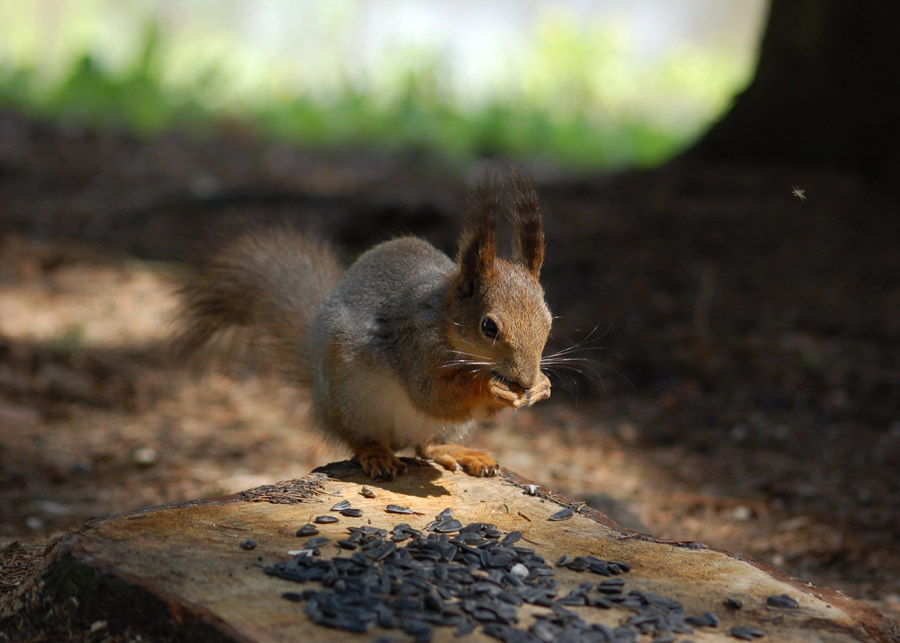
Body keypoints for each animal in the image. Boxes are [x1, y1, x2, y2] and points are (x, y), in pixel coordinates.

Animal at [174, 165, 552, 481]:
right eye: (489, 327)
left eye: (549, 321)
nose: (526, 378)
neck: (445, 321)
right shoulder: (414, 343)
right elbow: (433, 394)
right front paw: (489, 386)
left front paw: (543, 386)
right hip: (351, 399)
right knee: (365, 440)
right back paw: (377, 454)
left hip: (440, 428)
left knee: (428, 445)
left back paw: (461, 452)